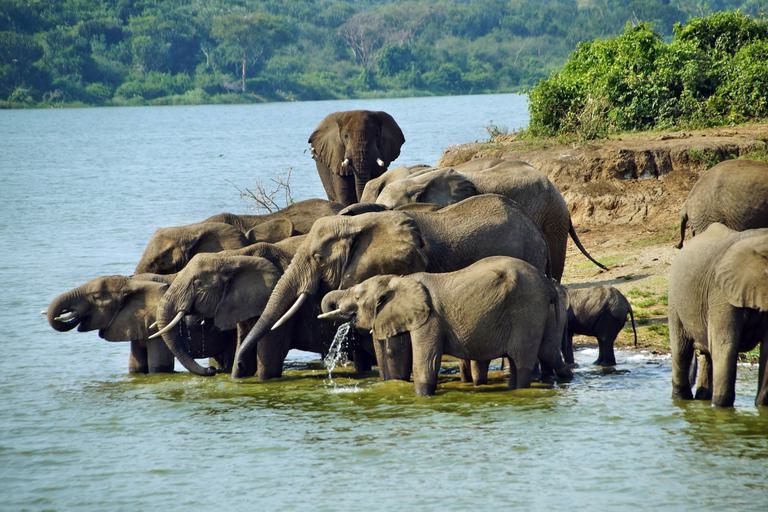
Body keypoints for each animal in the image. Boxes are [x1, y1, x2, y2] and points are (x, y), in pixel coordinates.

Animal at [47, 274, 236, 373]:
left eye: (97, 297)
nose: (210, 372)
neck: (131, 282)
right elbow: (136, 367)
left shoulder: (156, 331)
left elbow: (158, 367)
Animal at [151, 241, 336, 378]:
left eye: (197, 284)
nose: (212, 371)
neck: (234, 256)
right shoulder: (241, 303)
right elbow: (243, 338)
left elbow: (269, 357)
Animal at [318, 256, 573, 396]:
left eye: (357, 297)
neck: (398, 280)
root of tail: (546, 283)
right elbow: (397, 356)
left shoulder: (430, 319)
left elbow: (426, 362)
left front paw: (422, 397)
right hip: (543, 312)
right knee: (549, 353)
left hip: (527, 309)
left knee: (522, 360)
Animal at [669, 223, 768, 407]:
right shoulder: (721, 292)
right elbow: (725, 345)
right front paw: (722, 409)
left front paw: (761, 407)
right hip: (675, 301)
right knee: (682, 351)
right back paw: (683, 400)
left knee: (707, 354)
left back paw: (703, 399)